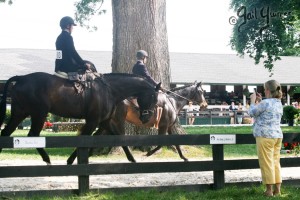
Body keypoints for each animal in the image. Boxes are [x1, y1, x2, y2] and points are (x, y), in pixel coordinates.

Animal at [0, 72, 161, 164]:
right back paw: (47, 159)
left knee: (6, 133)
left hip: (20, 113)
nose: (146, 118)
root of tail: (21, 78)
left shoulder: (105, 122)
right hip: (39, 113)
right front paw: (71, 160)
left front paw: (132, 160)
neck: (109, 90)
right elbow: (84, 140)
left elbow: (119, 138)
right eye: (154, 97)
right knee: (32, 134)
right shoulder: (93, 121)